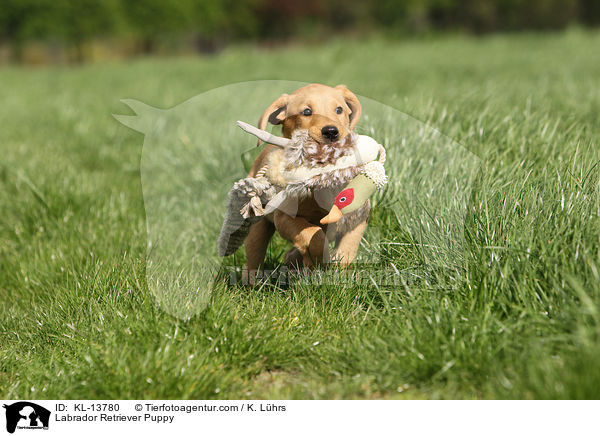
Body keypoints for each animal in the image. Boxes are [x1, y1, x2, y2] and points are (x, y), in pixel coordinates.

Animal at [243, 84, 366, 282]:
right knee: (254, 255)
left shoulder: (358, 215)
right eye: (307, 112)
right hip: (258, 228)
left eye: (339, 109)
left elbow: (348, 246)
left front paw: (340, 273)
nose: (331, 131)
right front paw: (317, 257)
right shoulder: (284, 218)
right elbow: (312, 234)